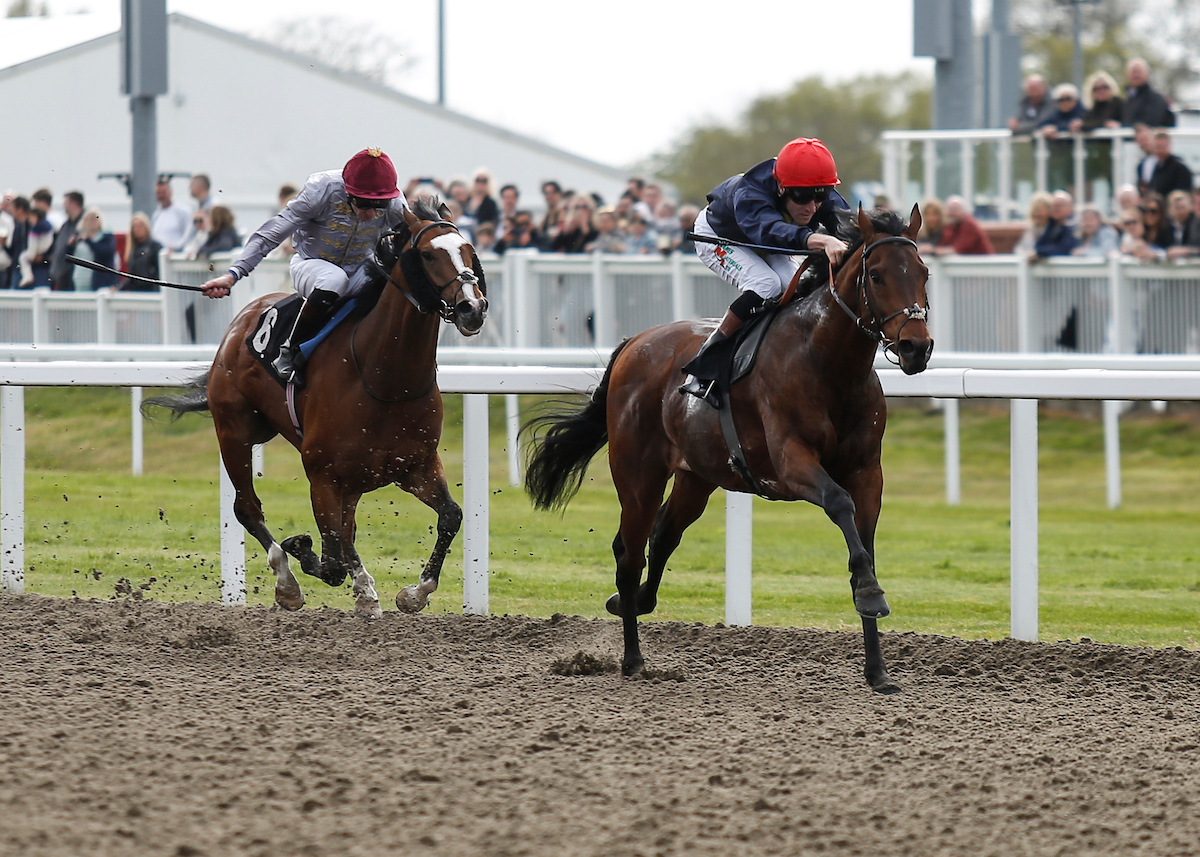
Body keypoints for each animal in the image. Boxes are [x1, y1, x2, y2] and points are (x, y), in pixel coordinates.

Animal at [146, 198, 487, 614]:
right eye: (427, 254)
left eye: (469, 250)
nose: (473, 308)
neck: (383, 377)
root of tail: (242, 319)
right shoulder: (323, 475)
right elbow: (333, 559)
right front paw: (305, 550)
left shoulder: (416, 465)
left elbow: (450, 516)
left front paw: (413, 592)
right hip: (235, 433)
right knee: (248, 508)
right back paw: (288, 582)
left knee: (346, 529)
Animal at [523, 204, 926, 691]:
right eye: (879, 276)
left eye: (923, 272)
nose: (917, 346)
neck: (828, 364)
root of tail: (633, 343)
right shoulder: (791, 462)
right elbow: (838, 502)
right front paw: (870, 595)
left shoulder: (868, 472)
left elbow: (863, 545)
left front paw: (878, 668)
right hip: (638, 477)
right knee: (629, 552)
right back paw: (633, 657)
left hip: (696, 476)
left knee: (664, 534)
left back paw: (630, 602)